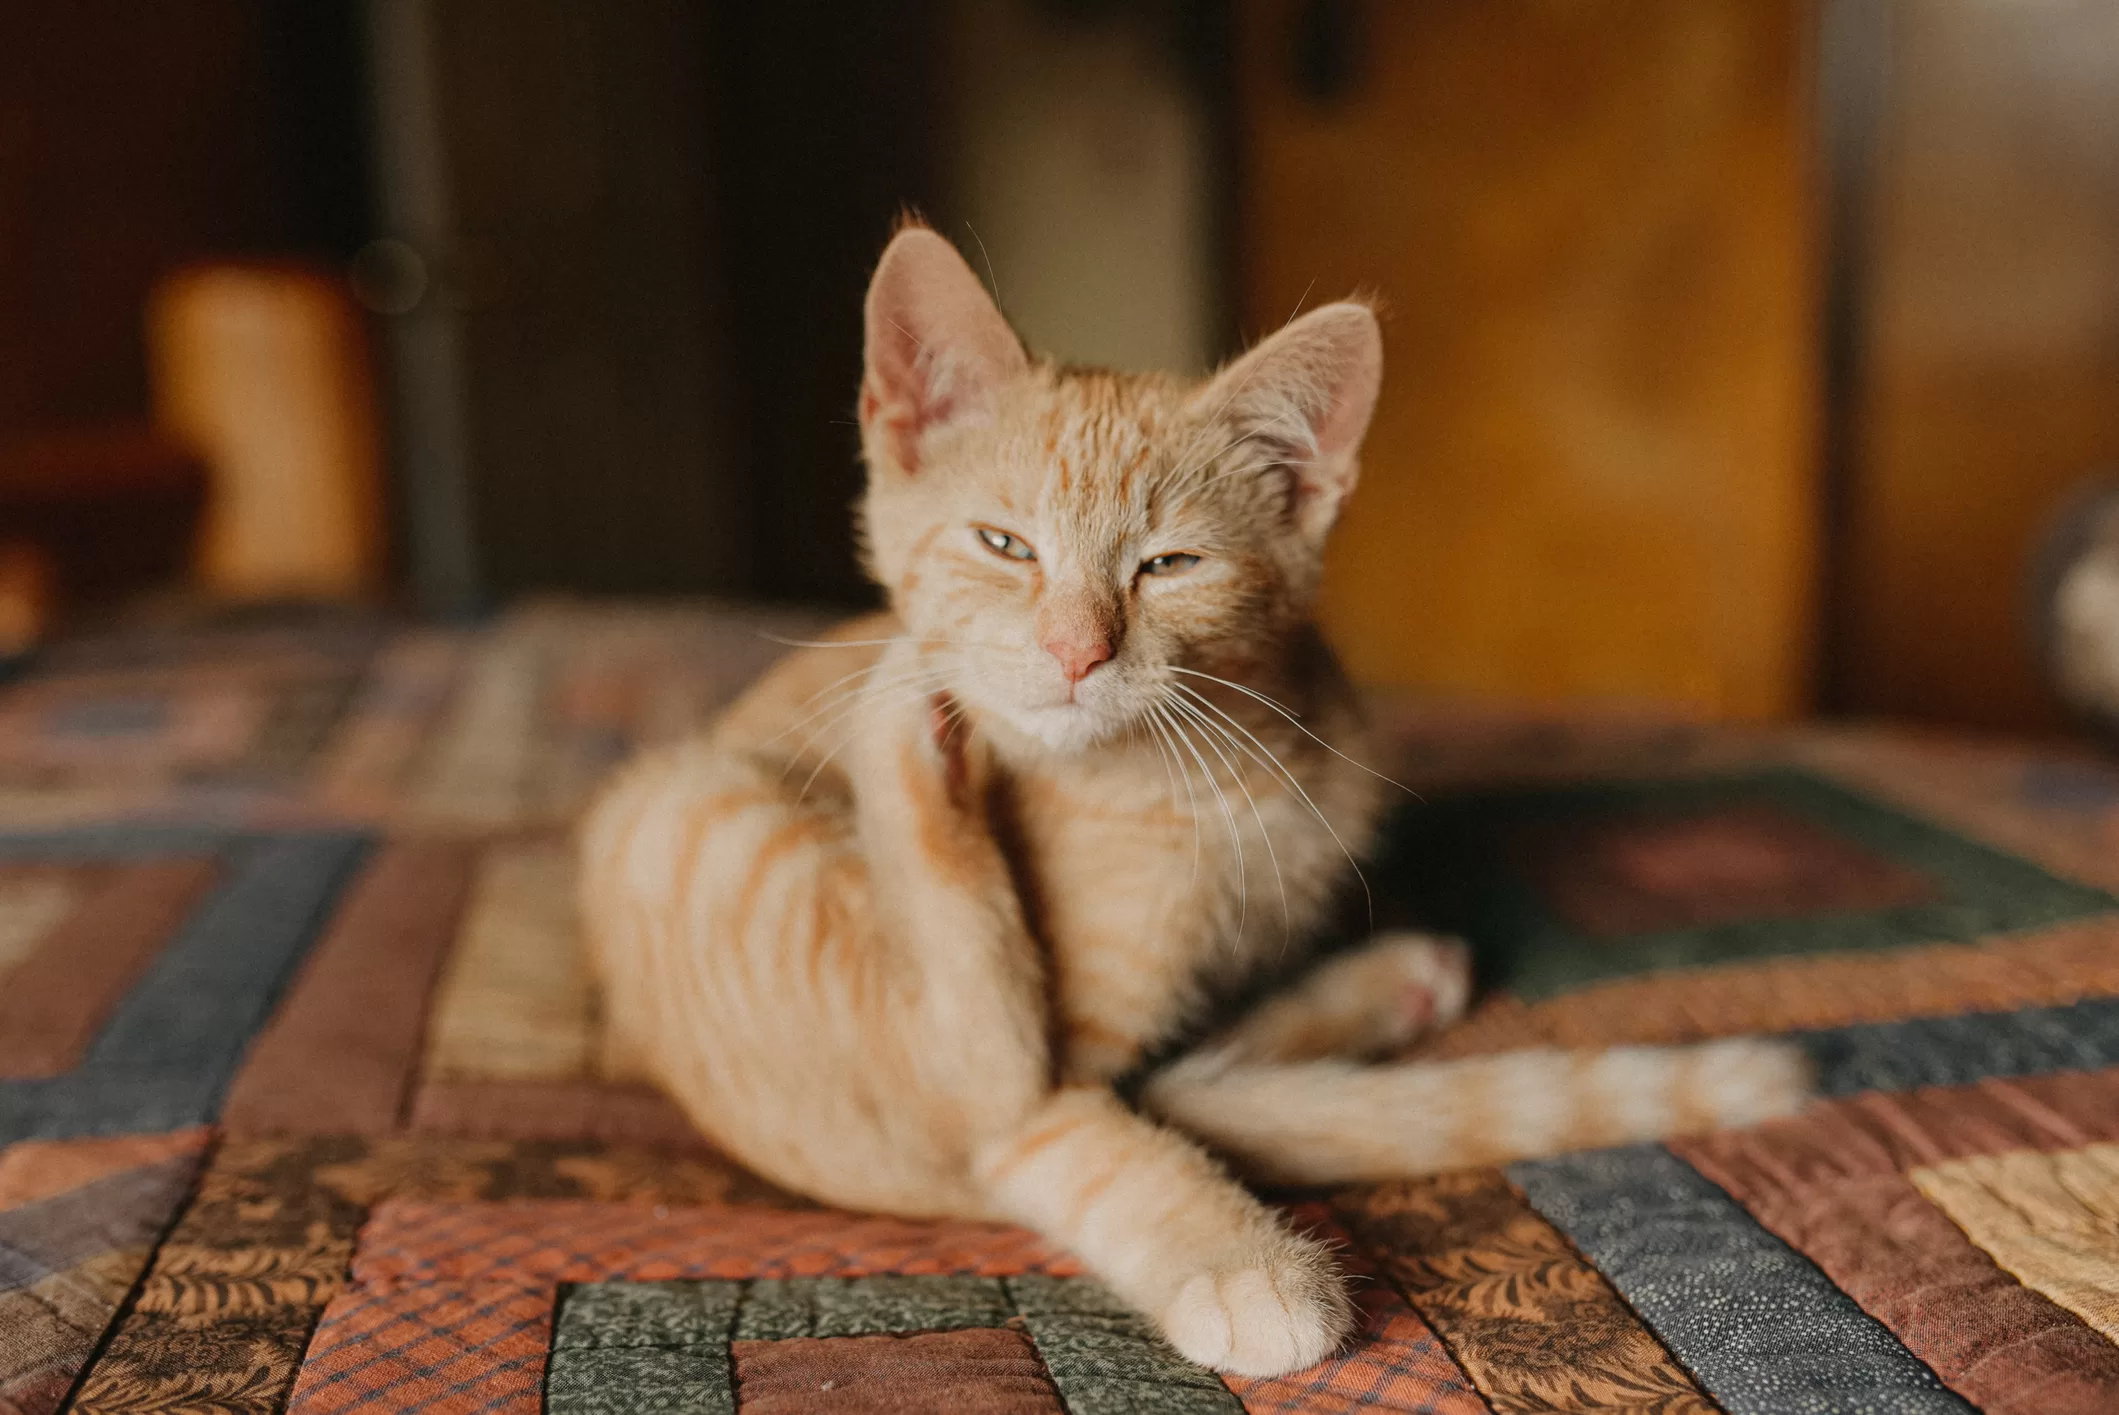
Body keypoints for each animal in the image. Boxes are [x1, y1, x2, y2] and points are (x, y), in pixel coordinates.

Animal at [580, 226, 1805, 1372]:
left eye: (1168, 565)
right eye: (1004, 544)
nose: (1075, 652)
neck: (1217, 775)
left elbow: (1188, 1085)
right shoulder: (1054, 1078)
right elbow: (1090, 1125)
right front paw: (1246, 1269)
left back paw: (1392, 982)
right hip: (682, 822)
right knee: (985, 1057)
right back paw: (901, 720)